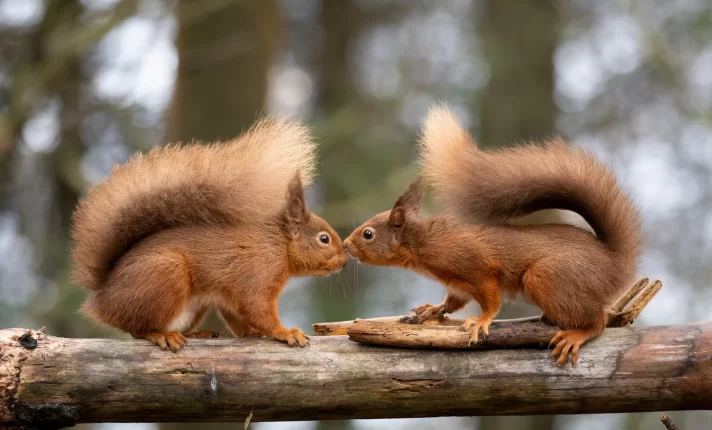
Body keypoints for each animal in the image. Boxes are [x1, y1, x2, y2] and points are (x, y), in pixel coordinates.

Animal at [71, 116, 350, 350]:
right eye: (324, 239)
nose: (346, 261)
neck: (279, 246)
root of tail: (104, 296)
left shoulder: (229, 296)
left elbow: (238, 316)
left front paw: (252, 333)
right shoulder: (257, 274)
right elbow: (257, 308)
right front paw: (285, 332)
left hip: (194, 305)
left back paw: (196, 334)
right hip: (165, 274)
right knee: (137, 329)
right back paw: (162, 335)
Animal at [342, 106, 644, 364]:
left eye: (367, 234)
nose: (345, 245)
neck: (424, 243)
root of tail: (613, 264)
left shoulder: (478, 268)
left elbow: (491, 300)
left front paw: (481, 321)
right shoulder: (458, 285)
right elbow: (452, 302)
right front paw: (432, 310)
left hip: (547, 276)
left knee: (598, 321)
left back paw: (576, 335)